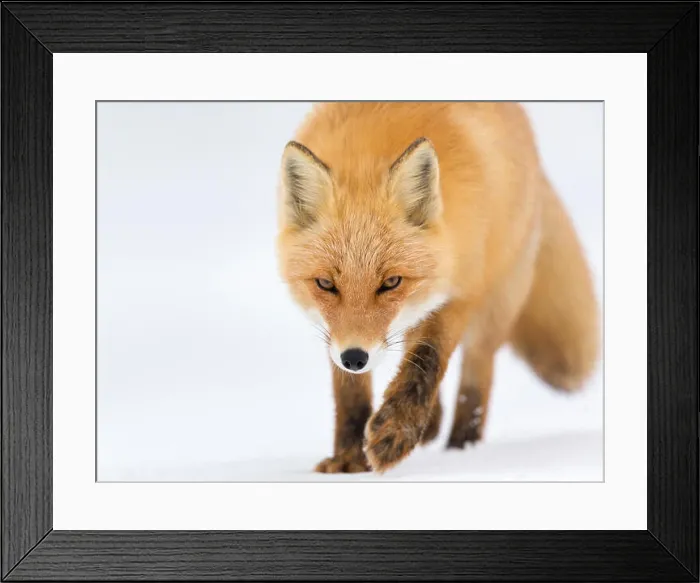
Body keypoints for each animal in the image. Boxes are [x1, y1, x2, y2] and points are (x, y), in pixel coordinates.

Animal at [276, 102, 600, 474]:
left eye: (391, 282)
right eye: (326, 284)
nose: (355, 357)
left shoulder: (462, 290)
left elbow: (427, 360)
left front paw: (395, 432)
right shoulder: (335, 333)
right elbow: (350, 393)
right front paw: (349, 458)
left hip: (495, 306)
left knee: (475, 382)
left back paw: (463, 449)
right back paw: (430, 427)